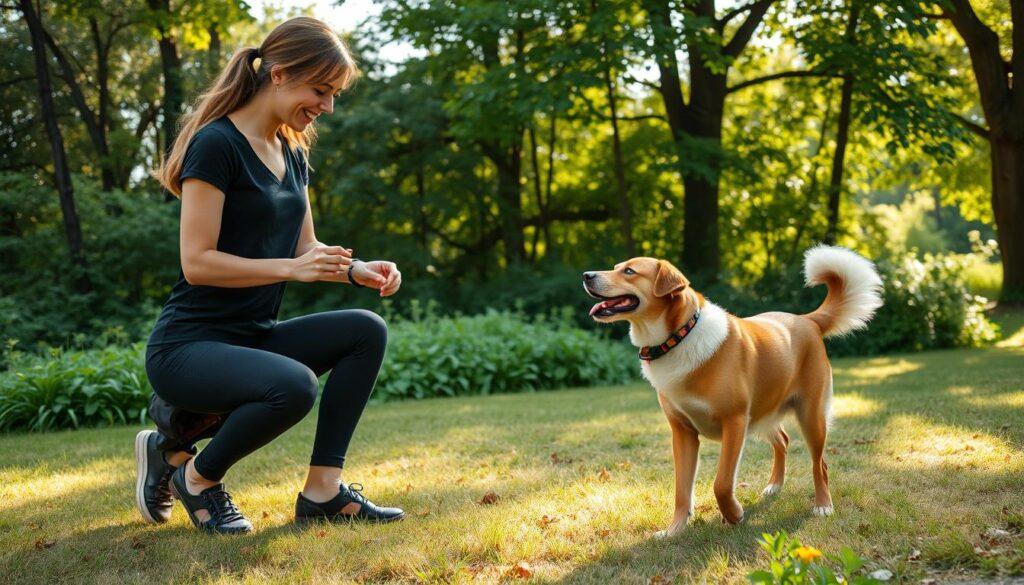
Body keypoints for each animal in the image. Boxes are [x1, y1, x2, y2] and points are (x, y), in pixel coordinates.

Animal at [581, 244, 884, 536]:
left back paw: (823, 505)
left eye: (629, 271)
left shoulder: (735, 422)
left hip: (810, 416)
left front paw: (734, 514)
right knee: (783, 440)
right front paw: (675, 530)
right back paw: (774, 486)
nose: (586, 275)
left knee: (819, 464)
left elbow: (722, 483)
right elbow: (681, 489)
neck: (679, 336)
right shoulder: (683, 433)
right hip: (763, 413)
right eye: (617, 267)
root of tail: (807, 320)